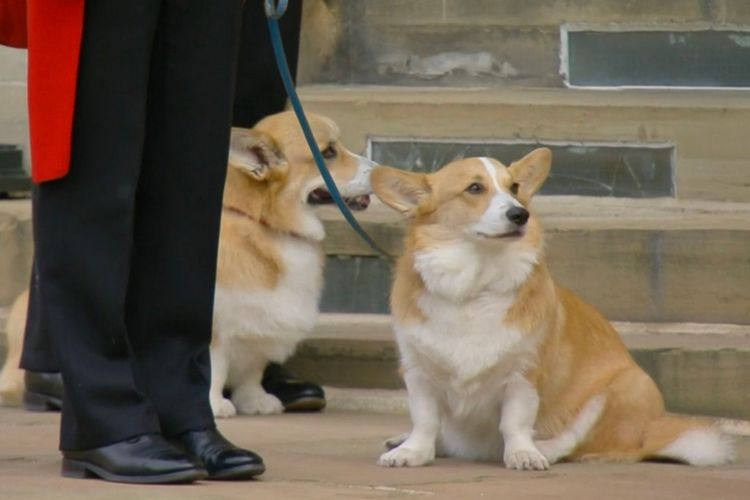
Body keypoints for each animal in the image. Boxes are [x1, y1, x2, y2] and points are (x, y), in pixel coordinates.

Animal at [210, 110, 374, 418]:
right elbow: (214, 366)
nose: (383, 170)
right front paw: (213, 404)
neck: (263, 221)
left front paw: (255, 400)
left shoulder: (260, 322)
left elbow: (252, 370)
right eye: (328, 152)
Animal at [374, 150, 736, 470]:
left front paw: (523, 454)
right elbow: (425, 421)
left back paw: (544, 448)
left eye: (514, 187)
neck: (474, 286)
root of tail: (650, 432)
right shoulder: (418, 371)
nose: (520, 214)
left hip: (623, 386)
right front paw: (413, 451)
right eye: (474, 188)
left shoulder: (523, 374)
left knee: (577, 442)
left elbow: (515, 423)